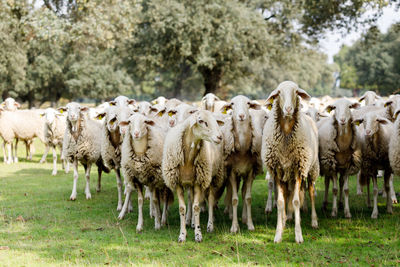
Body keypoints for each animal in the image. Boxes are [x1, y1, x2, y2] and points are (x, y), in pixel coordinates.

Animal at [162, 110, 225, 244]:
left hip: (213, 176)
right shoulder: (178, 183)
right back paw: (189, 222)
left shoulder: (198, 182)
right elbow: (182, 208)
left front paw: (198, 234)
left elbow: (196, 207)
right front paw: (182, 235)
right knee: (190, 198)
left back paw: (209, 225)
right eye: (201, 121)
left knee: (210, 199)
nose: (219, 137)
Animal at [262, 81, 318, 245]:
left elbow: (296, 201)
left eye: (296, 92)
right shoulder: (278, 170)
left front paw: (298, 235)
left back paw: (314, 221)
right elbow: (281, 202)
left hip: (312, 169)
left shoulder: (299, 168)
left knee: (311, 192)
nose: (288, 109)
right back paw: (286, 219)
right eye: (279, 93)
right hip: (288, 175)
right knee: (288, 194)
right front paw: (278, 234)